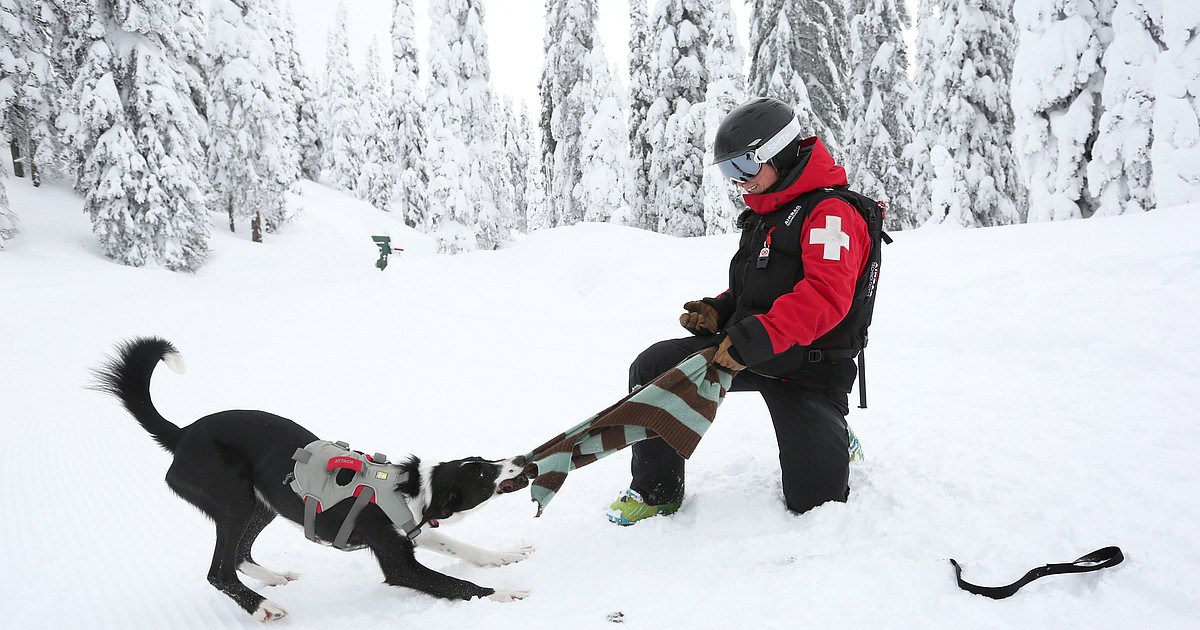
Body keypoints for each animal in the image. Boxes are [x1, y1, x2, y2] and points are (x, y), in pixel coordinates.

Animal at [100, 336, 532, 619]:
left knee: (238, 555)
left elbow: (465, 548)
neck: (410, 489)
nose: (522, 459)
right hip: (233, 499)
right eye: (484, 473)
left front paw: (506, 555)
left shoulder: (412, 531)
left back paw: (273, 578)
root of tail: (183, 433)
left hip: (264, 504)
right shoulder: (399, 564)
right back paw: (263, 607)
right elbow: (463, 586)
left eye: (483, 459)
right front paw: (506, 593)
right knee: (218, 571)